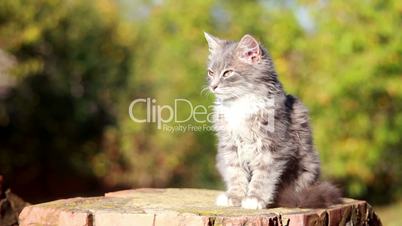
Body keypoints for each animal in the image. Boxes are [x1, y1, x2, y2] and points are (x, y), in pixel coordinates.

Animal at [206, 32, 340, 209]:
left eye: (227, 73)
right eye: (210, 72)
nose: (212, 86)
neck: (240, 103)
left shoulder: (273, 145)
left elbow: (263, 176)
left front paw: (254, 199)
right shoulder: (230, 145)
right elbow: (235, 173)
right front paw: (234, 196)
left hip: (305, 166)